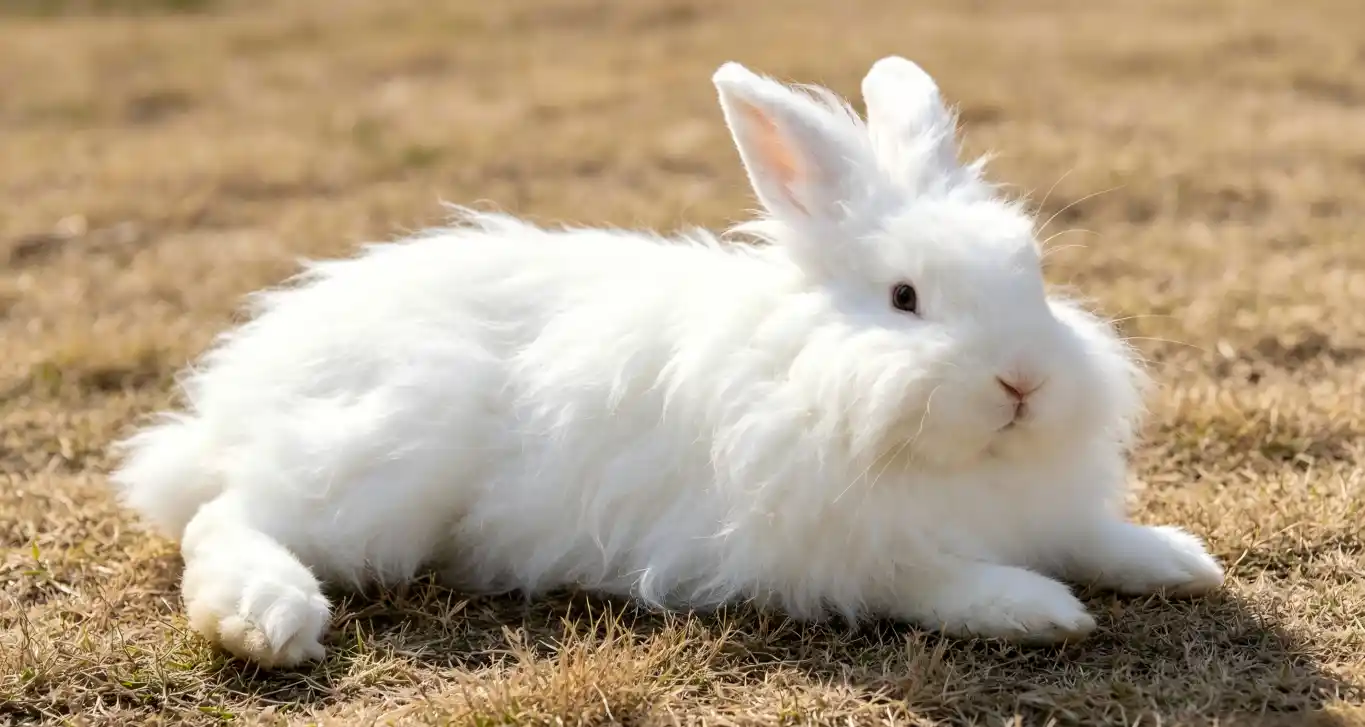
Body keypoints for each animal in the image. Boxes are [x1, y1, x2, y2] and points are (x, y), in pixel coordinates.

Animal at [108, 56, 1224, 668]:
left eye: (1031, 272)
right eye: (905, 298)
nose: (1023, 382)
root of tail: (237, 395)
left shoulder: (1043, 509)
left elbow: (1094, 537)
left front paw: (1178, 560)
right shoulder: (835, 554)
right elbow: (938, 579)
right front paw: (1037, 611)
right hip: (378, 462)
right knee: (224, 517)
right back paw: (266, 618)